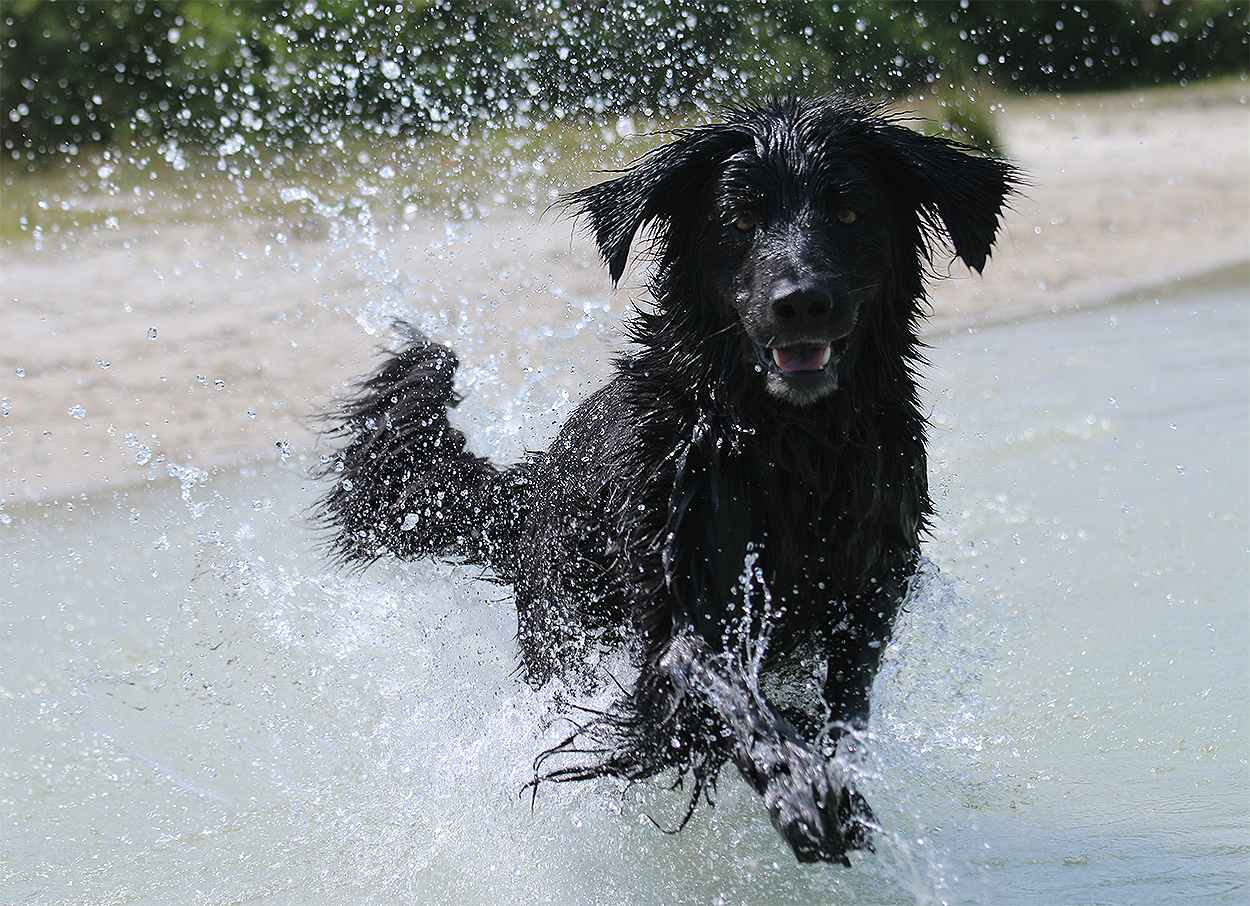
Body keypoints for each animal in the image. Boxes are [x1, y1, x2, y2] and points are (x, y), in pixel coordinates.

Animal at [316, 97, 1015, 864]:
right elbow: (715, 684)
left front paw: (835, 774)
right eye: (738, 223)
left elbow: (844, 704)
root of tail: (534, 484)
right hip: (563, 628)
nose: (800, 301)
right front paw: (798, 785)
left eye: (850, 213)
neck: (786, 443)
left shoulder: (870, 588)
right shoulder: (680, 595)